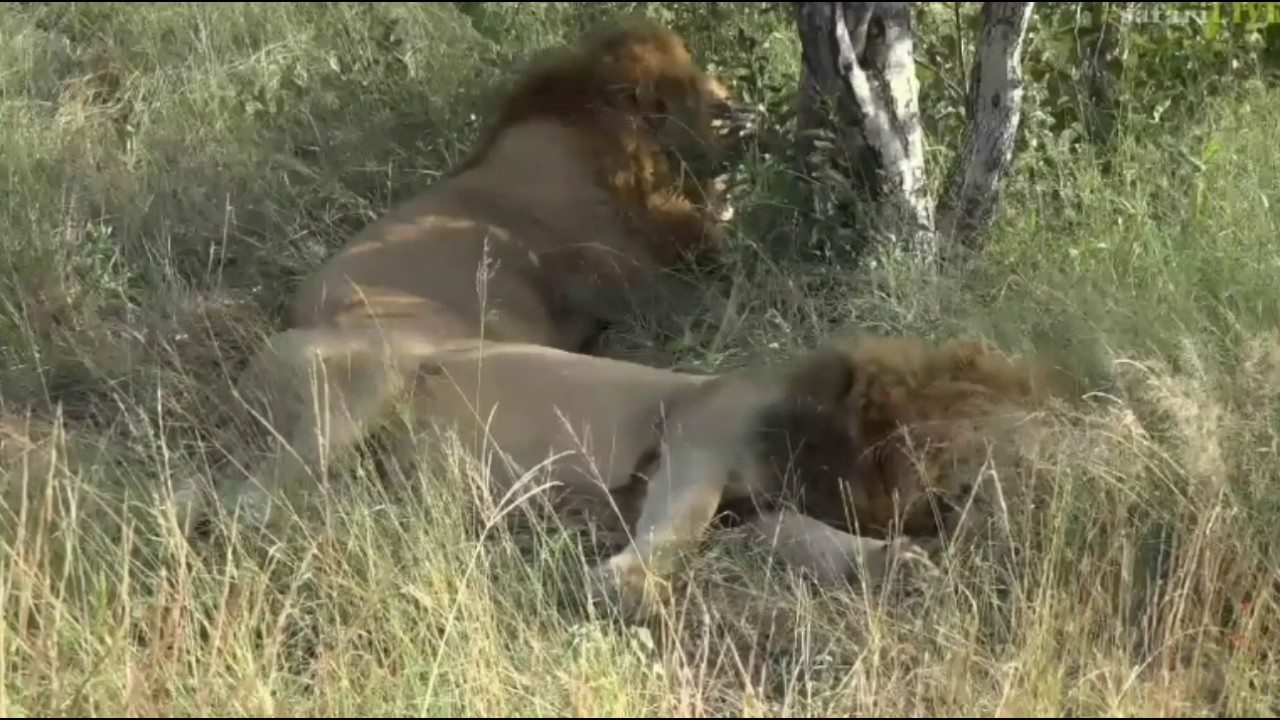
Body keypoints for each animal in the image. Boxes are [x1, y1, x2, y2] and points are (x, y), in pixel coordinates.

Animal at [203, 329, 1060, 620]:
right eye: (945, 455)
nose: (957, 508)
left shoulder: (755, 516)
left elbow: (812, 541)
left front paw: (898, 566)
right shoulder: (691, 445)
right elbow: (669, 533)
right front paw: (625, 586)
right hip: (369, 375)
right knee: (229, 498)